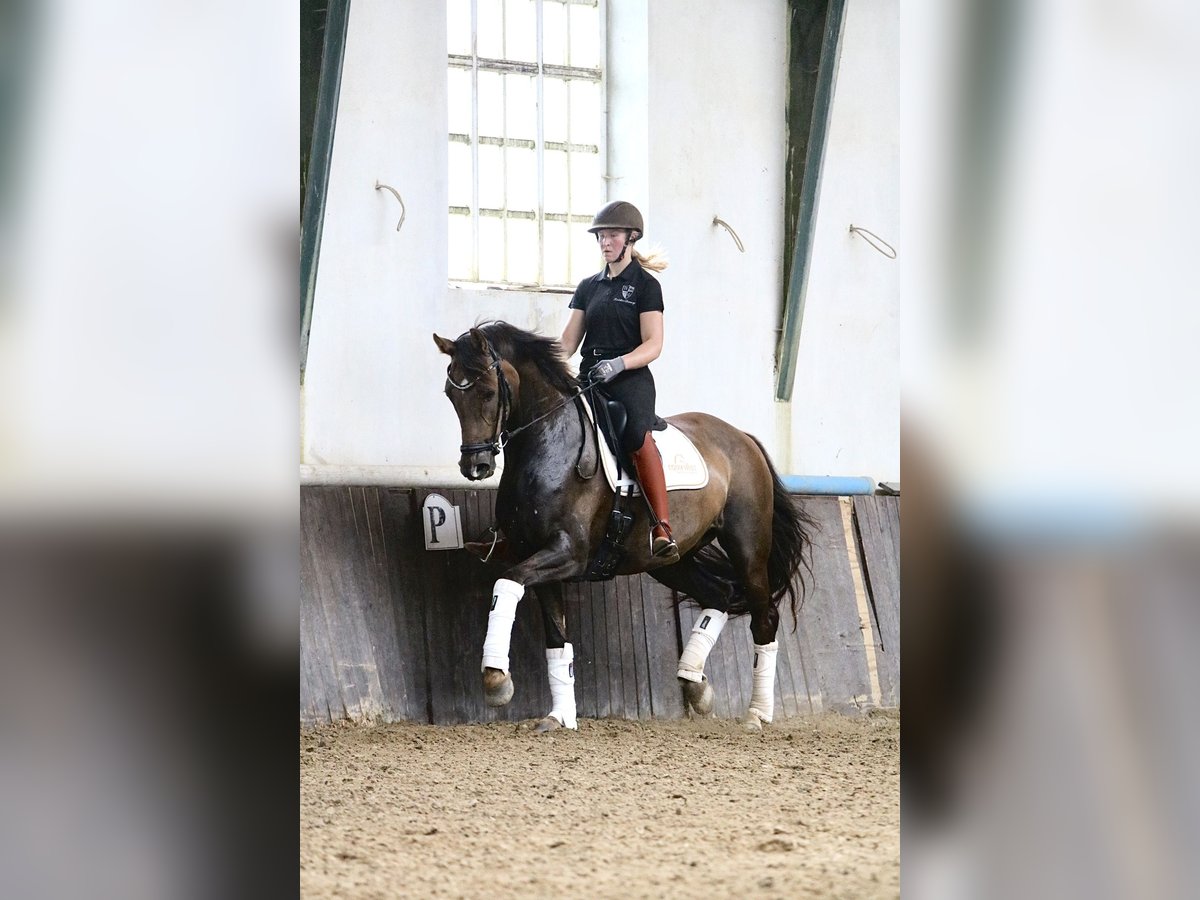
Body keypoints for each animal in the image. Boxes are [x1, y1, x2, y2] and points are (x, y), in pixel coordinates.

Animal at [432, 324, 816, 734]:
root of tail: (743, 437)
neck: (550, 445)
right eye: (451, 395)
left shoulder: (568, 553)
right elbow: (556, 638)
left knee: (764, 617)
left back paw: (757, 714)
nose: (475, 465)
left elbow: (504, 583)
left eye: (488, 391)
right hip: (670, 561)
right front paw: (560, 716)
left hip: (748, 548)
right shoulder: (536, 557)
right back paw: (694, 684)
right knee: (720, 594)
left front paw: (496, 680)